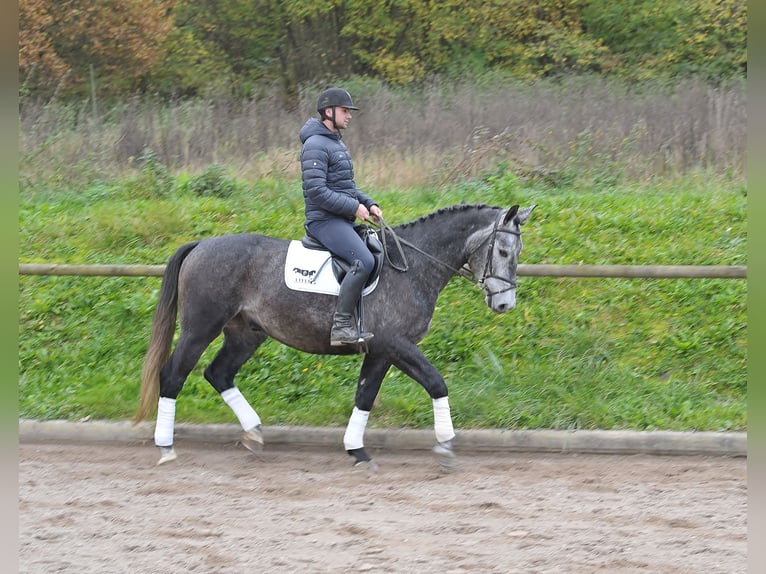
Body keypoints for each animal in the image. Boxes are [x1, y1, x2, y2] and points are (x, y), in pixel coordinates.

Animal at [135, 202, 536, 468]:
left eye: (517, 251)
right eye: (503, 250)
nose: (505, 304)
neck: (412, 266)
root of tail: (201, 245)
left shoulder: (380, 351)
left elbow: (365, 396)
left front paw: (356, 450)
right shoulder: (396, 344)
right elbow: (436, 383)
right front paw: (446, 443)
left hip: (246, 334)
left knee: (218, 373)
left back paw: (254, 433)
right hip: (200, 328)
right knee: (173, 375)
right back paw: (166, 446)